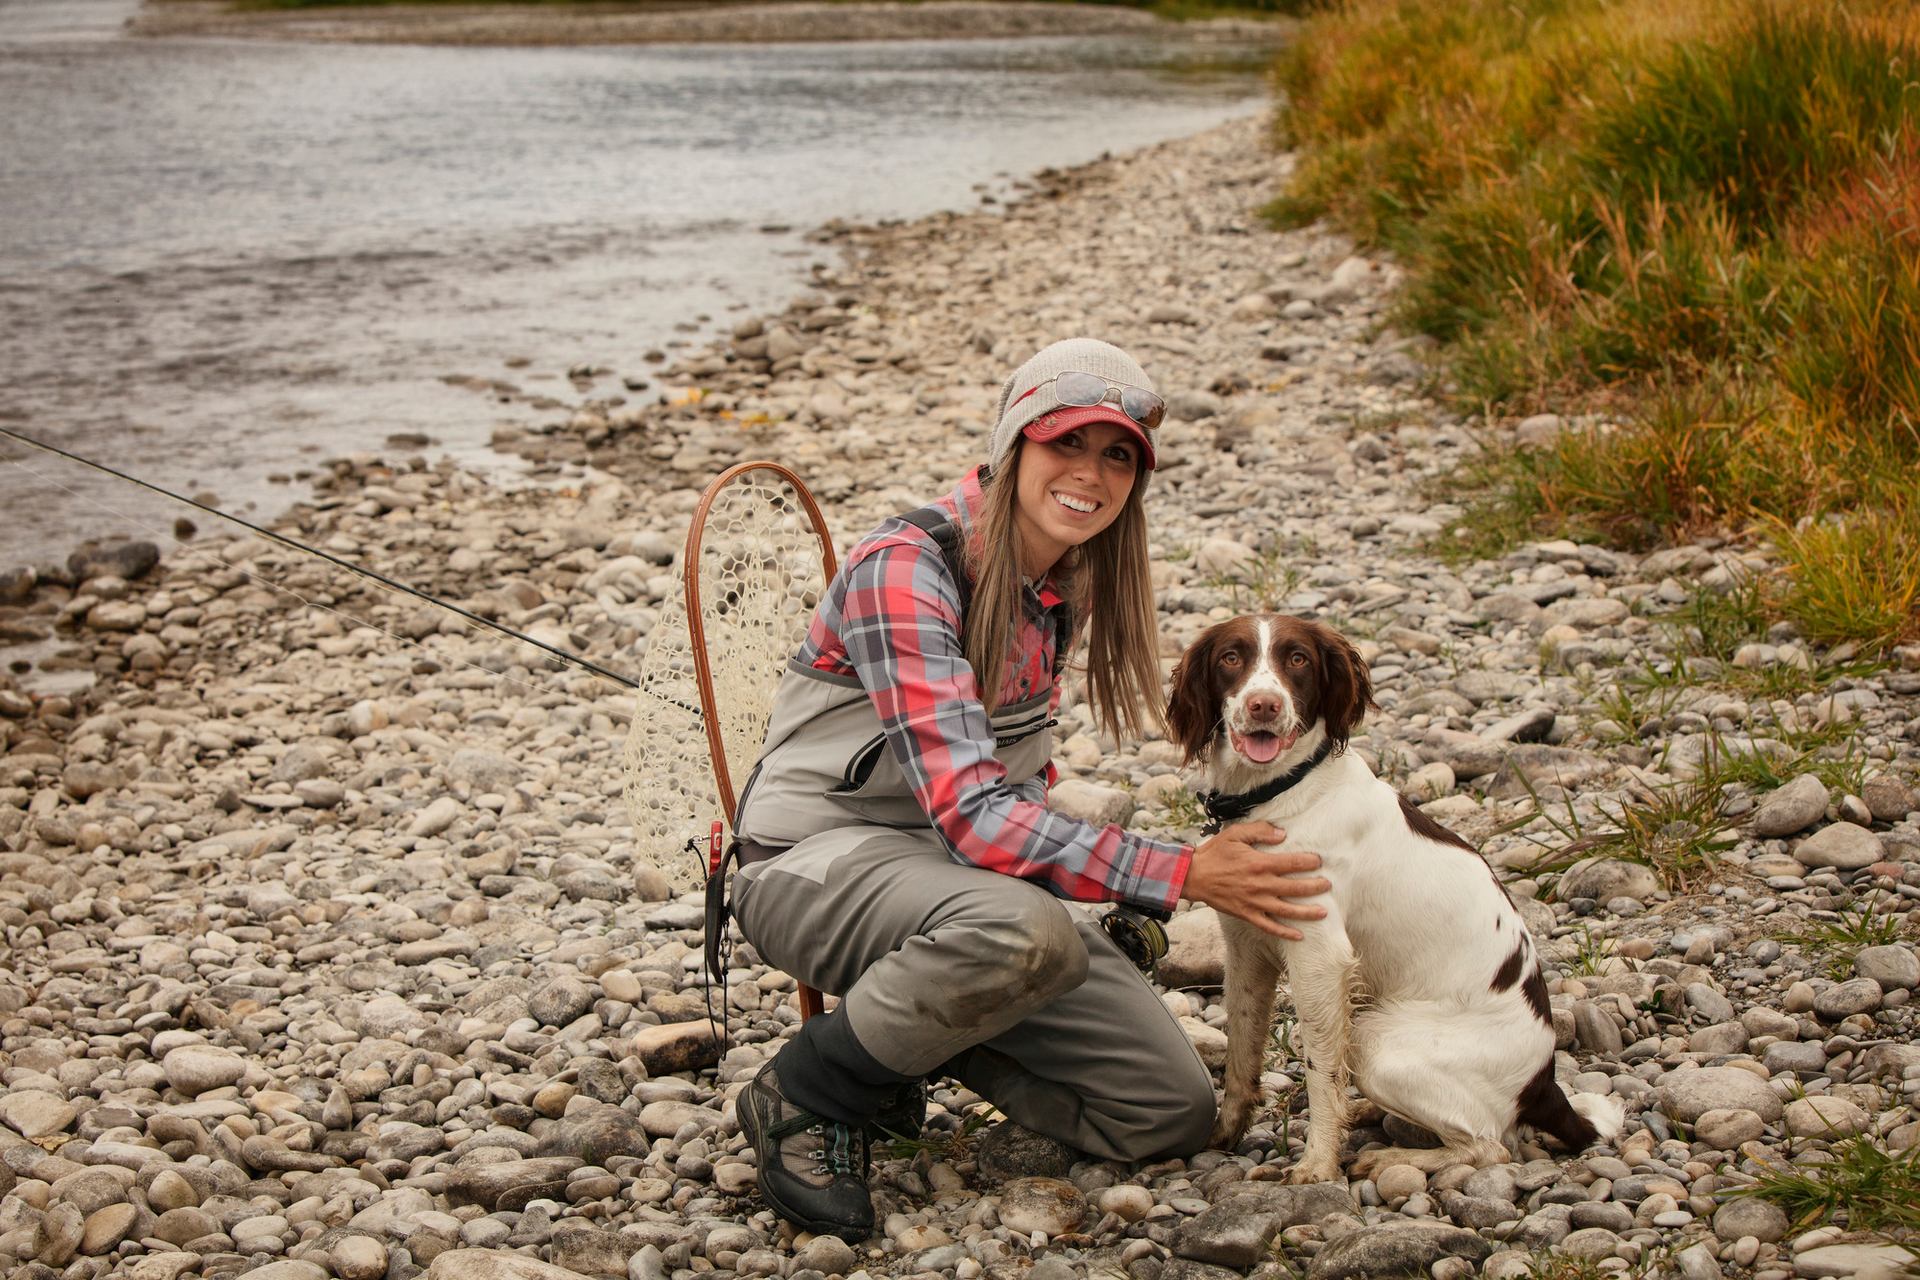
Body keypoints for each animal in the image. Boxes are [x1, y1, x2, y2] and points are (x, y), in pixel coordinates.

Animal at [1167, 614, 1620, 1189]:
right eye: (1231, 657)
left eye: (1298, 659)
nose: (1263, 705)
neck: (1279, 794)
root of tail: (1543, 1084)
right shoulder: (1246, 948)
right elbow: (1243, 1049)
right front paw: (1224, 1135)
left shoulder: (1319, 955)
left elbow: (1319, 1069)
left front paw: (1318, 1163)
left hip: (1381, 1044)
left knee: (1490, 1146)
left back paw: (1388, 1156)